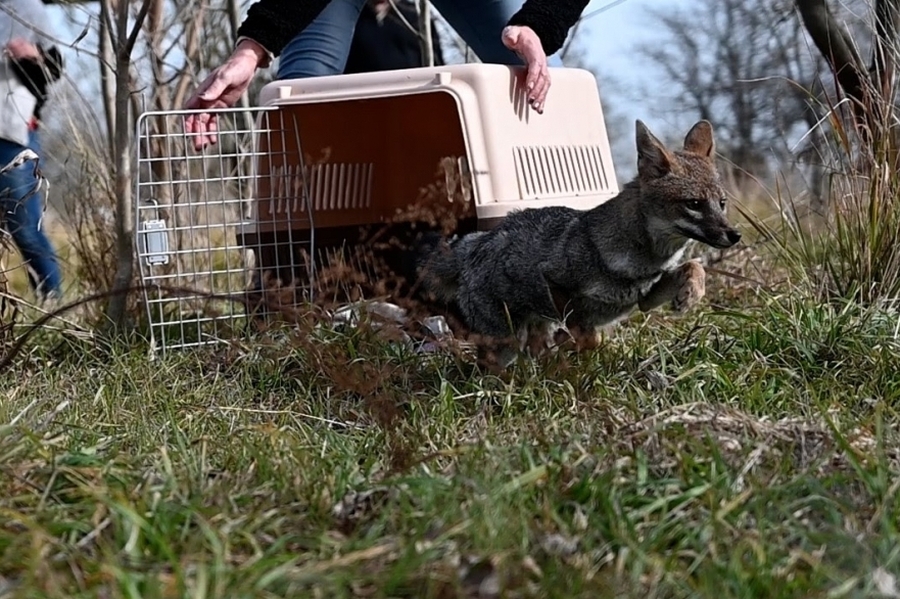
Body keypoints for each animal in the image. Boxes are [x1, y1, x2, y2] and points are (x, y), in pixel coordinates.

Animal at [418, 118, 740, 366]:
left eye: (722, 203)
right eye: (694, 204)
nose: (734, 235)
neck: (641, 259)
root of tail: (476, 242)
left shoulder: (645, 299)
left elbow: (695, 266)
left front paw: (691, 294)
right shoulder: (555, 281)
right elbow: (587, 335)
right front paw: (572, 342)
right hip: (505, 342)